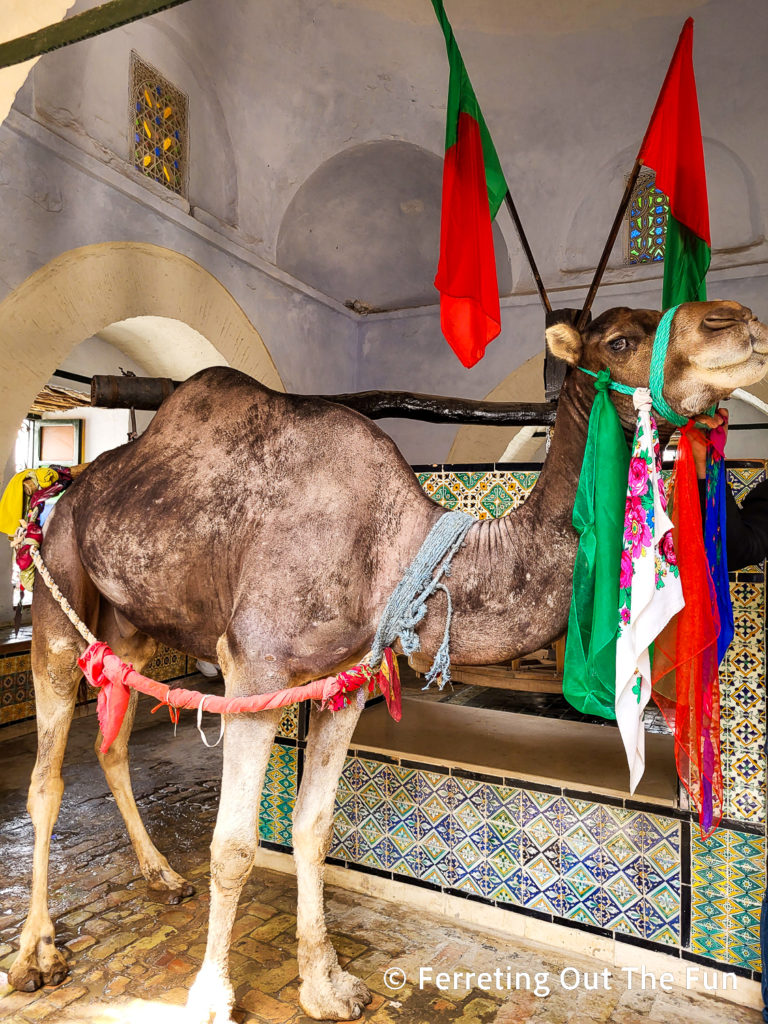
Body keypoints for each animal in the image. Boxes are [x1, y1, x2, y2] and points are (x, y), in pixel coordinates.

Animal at [7, 296, 768, 1015]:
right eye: (620, 339)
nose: (738, 321)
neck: (393, 554)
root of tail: (66, 485)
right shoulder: (254, 670)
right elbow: (234, 847)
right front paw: (211, 997)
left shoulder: (340, 681)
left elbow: (313, 829)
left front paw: (327, 987)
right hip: (55, 582)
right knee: (46, 774)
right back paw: (34, 953)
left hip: (130, 621)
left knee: (110, 740)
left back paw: (161, 876)